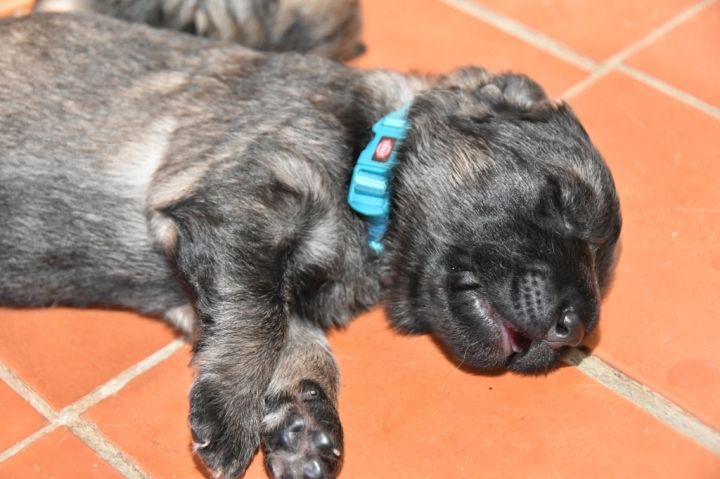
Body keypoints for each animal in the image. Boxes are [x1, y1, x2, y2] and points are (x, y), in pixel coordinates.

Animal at [0, 13, 621, 479]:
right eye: (559, 196)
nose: (575, 329)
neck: (370, 157)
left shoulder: (223, 278)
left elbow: (297, 337)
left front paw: (302, 420)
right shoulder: (242, 205)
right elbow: (258, 318)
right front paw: (231, 414)